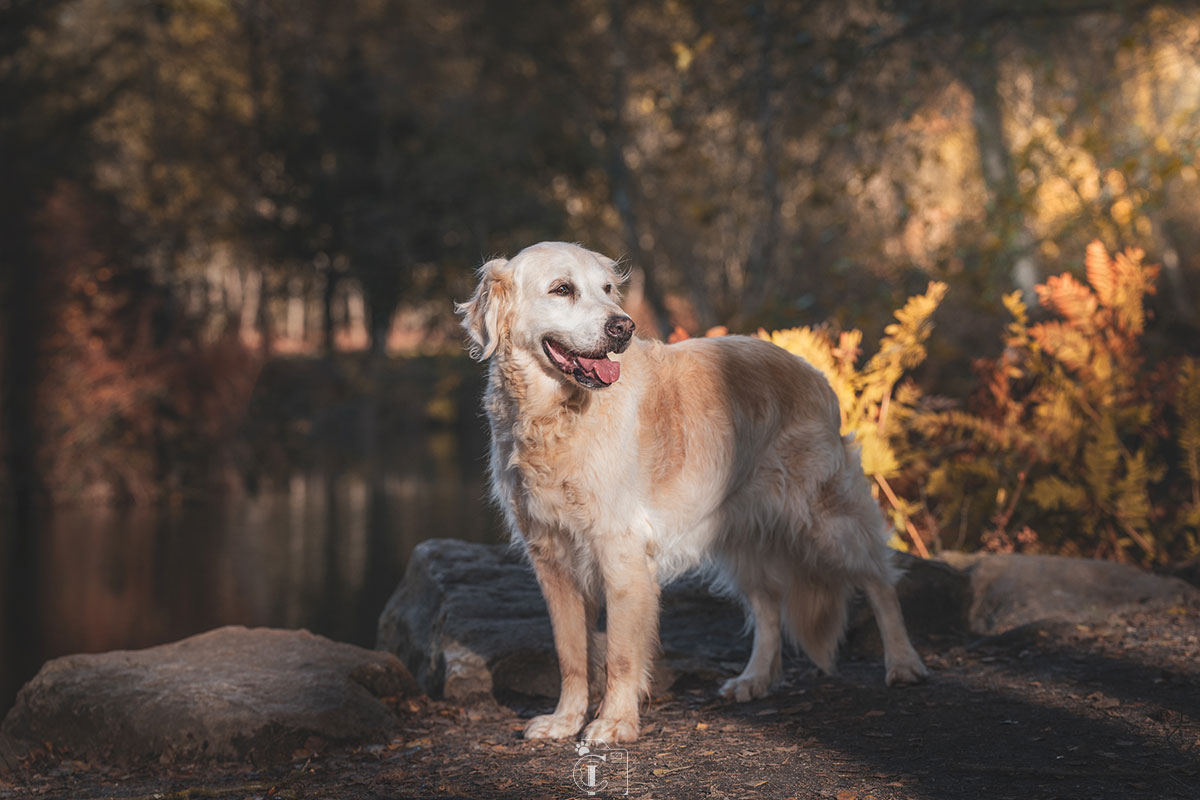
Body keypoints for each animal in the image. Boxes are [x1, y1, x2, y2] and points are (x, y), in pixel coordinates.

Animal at [456, 239, 926, 743]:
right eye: (562, 289)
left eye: (607, 290)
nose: (623, 326)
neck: (555, 416)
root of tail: (812, 371)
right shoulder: (551, 560)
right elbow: (571, 655)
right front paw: (565, 719)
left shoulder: (620, 553)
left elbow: (620, 654)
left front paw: (614, 723)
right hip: (743, 537)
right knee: (768, 607)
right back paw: (754, 678)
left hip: (824, 517)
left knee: (879, 579)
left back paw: (902, 661)